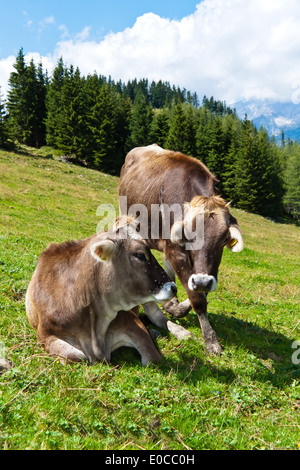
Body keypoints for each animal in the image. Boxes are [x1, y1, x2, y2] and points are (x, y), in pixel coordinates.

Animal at [25, 217, 178, 368]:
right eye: (140, 255)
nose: (173, 287)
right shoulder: (45, 334)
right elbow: (77, 356)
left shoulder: (131, 321)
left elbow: (152, 358)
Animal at [118, 145, 243, 354]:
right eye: (190, 236)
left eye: (223, 240)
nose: (202, 281)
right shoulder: (175, 249)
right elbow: (197, 298)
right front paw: (211, 340)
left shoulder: (209, 269)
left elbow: (199, 293)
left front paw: (177, 305)